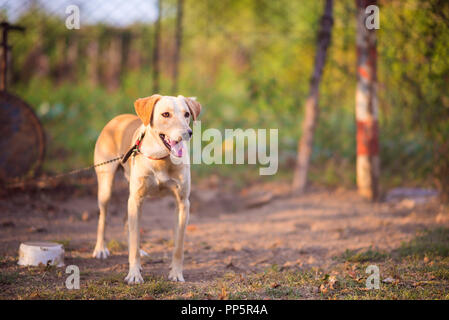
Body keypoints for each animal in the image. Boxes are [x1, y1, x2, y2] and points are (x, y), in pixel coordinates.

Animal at [93, 94, 201, 284]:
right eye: (165, 114)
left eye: (187, 114)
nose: (187, 133)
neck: (161, 158)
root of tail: (117, 118)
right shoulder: (136, 199)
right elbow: (134, 243)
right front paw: (134, 274)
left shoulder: (182, 203)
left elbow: (178, 246)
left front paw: (176, 273)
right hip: (106, 185)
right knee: (103, 217)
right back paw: (100, 248)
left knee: (127, 222)